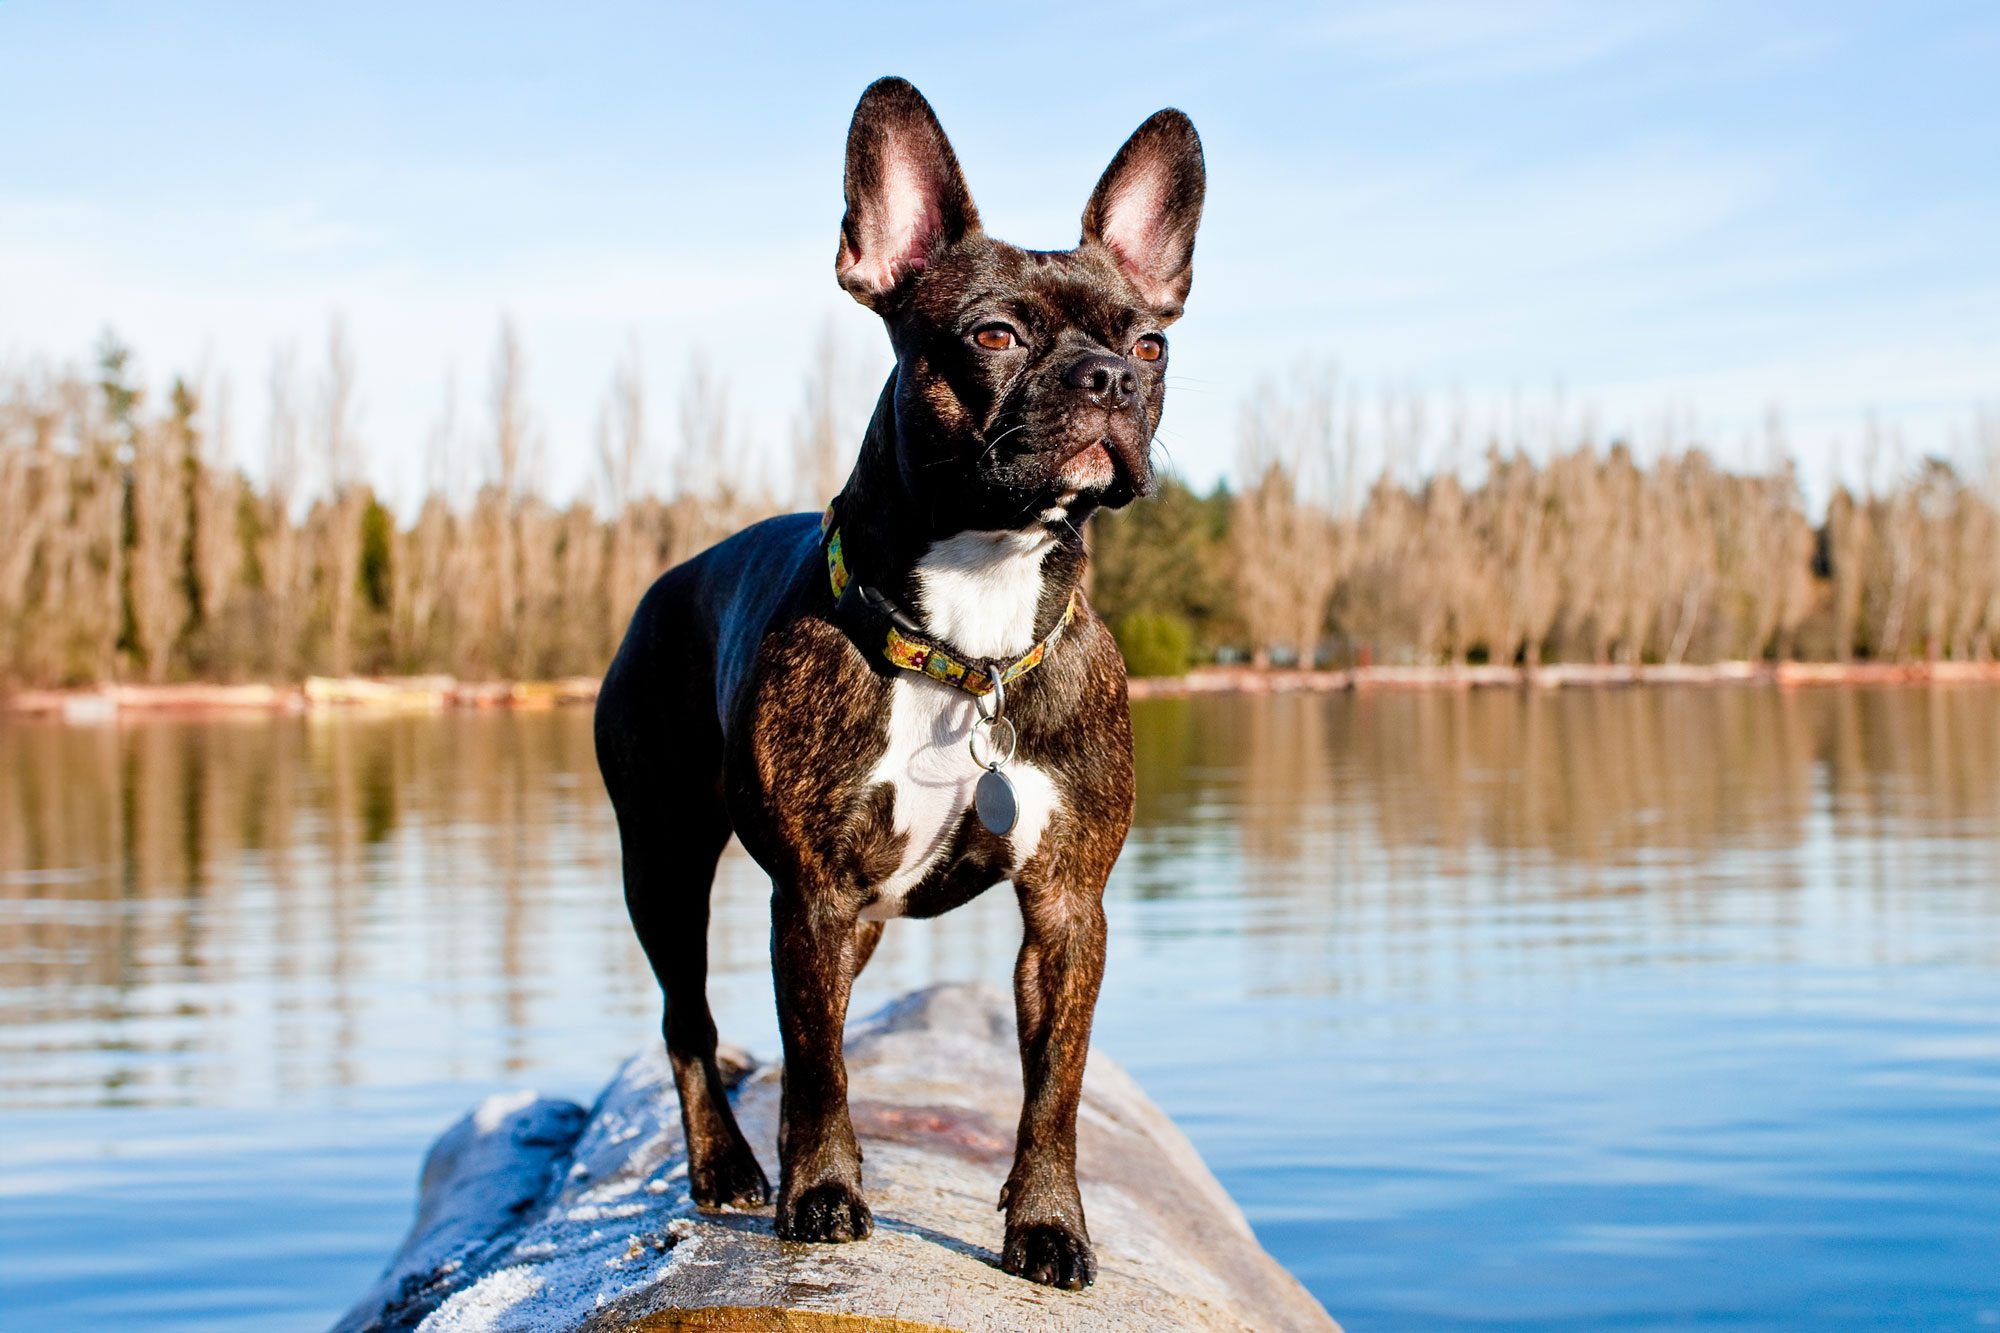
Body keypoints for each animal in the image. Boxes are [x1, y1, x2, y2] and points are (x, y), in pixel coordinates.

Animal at [592, 75, 1208, 1288]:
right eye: (994, 334)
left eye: (1152, 343)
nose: (1109, 377)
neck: (973, 636)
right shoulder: (814, 894)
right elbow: (819, 1062)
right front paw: (822, 1194)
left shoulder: (1065, 905)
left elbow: (1053, 1086)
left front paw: (1047, 1225)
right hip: (665, 856)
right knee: (689, 1018)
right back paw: (730, 1164)